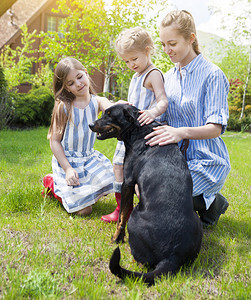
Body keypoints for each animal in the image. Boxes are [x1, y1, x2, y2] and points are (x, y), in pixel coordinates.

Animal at [89, 105, 203, 286]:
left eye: (110, 115)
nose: (90, 124)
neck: (139, 129)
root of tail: (173, 256)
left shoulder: (127, 182)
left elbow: (121, 218)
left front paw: (116, 239)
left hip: (136, 214)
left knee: (142, 262)